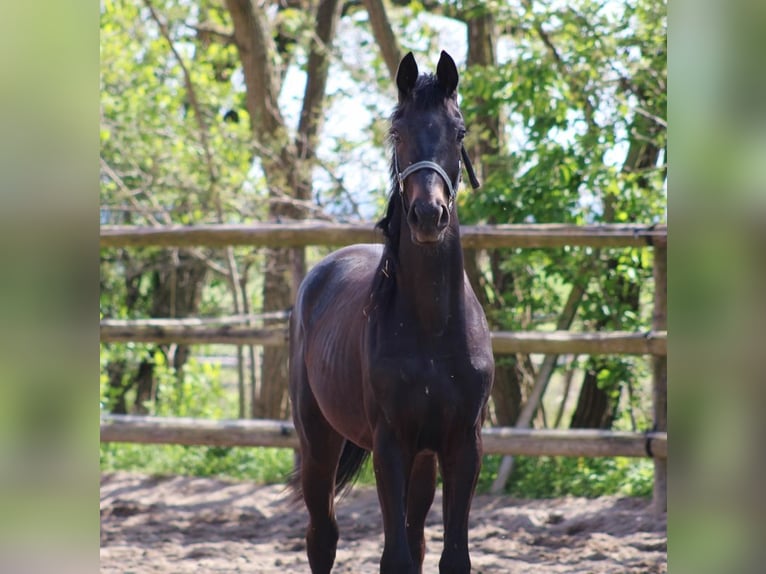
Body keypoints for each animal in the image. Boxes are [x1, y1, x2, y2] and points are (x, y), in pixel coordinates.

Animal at [290, 51, 498, 572]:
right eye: (397, 131)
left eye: (459, 131)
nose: (428, 216)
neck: (433, 326)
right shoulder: (390, 445)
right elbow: (395, 558)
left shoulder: (463, 444)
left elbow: (450, 556)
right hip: (318, 443)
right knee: (322, 537)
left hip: (423, 458)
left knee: (416, 536)